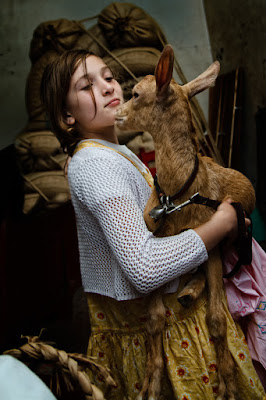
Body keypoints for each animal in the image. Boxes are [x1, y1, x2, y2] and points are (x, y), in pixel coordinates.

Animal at [116, 45, 256, 400]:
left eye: (135, 93)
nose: (117, 113)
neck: (177, 194)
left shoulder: (212, 244)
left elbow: (217, 319)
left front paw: (228, 387)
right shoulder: (157, 248)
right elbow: (154, 319)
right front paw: (150, 385)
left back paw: (192, 291)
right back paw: (189, 291)